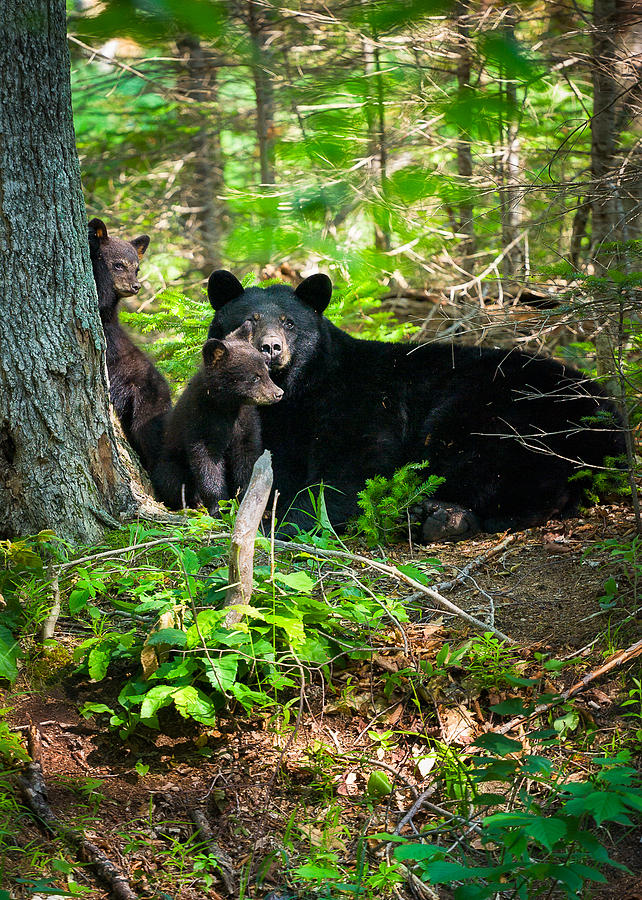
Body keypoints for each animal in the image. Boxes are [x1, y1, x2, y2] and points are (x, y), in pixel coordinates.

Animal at [151, 321, 283, 518]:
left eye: (266, 371)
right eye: (254, 377)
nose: (278, 393)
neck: (227, 406)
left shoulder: (246, 422)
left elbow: (247, 457)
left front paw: (248, 499)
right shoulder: (200, 421)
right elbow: (207, 463)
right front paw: (219, 507)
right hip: (170, 464)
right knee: (172, 481)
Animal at [206, 269, 625, 541]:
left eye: (289, 322)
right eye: (247, 320)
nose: (271, 348)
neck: (298, 391)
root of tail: (608, 416)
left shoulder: (363, 401)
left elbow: (354, 463)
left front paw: (288, 520)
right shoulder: (280, 425)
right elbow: (271, 464)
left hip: (493, 409)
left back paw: (435, 516)